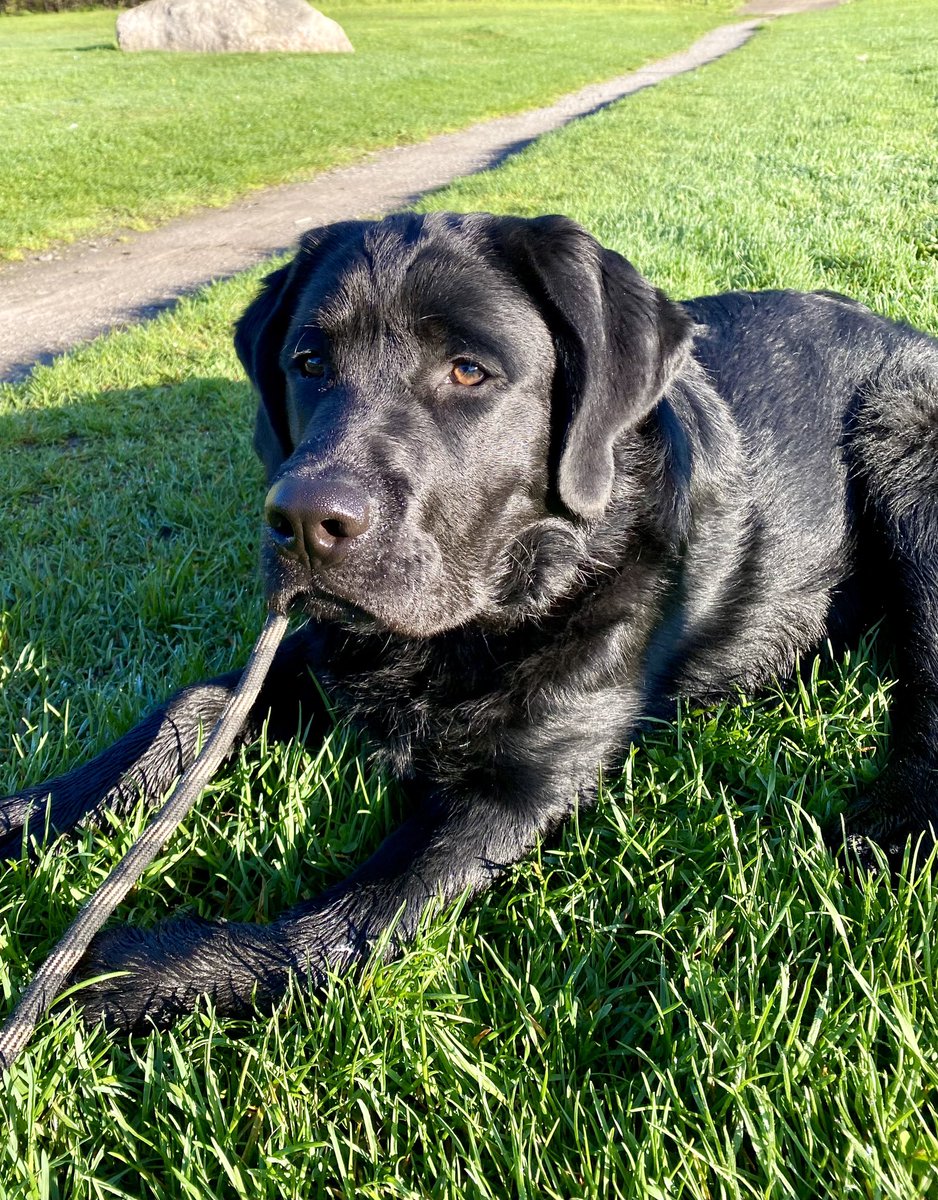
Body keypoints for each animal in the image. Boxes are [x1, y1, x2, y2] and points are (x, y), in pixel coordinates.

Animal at [3, 208, 935, 1032]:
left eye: (468, 371)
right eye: (308, 361)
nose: (300, 521)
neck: (495, 605)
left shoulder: (519, 787)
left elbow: (347, 924)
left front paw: (144, 971)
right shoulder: (316, 650)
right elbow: (184, 711)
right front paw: (30, 814)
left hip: (902, 446)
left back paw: (895, 823)